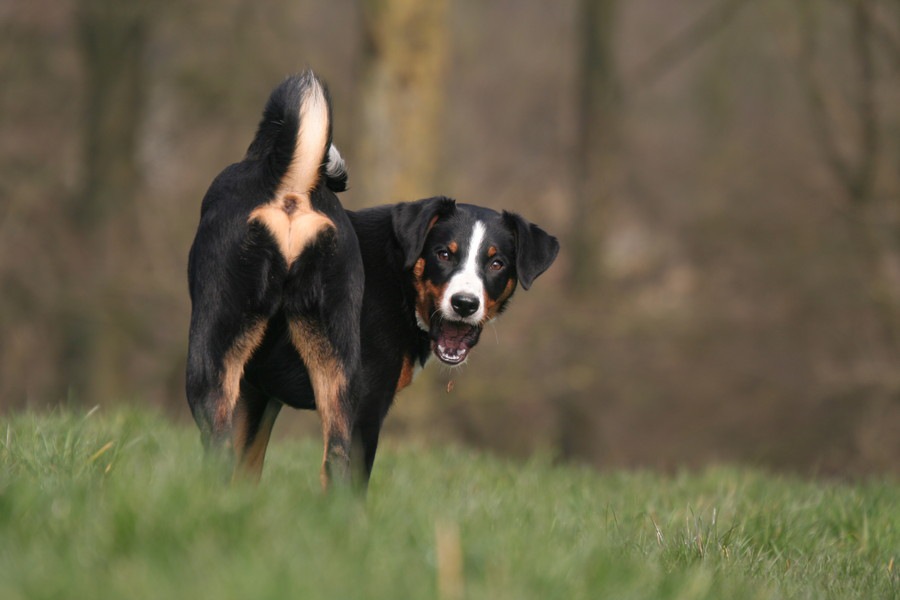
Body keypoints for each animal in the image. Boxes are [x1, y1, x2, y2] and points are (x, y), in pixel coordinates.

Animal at [186, 70, 560, 490]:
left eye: (496, 264)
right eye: (444, 254)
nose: (465, 304)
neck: (400, 284)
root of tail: (293, 189)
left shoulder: (259, 393)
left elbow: (246, 472)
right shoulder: (368, 405)